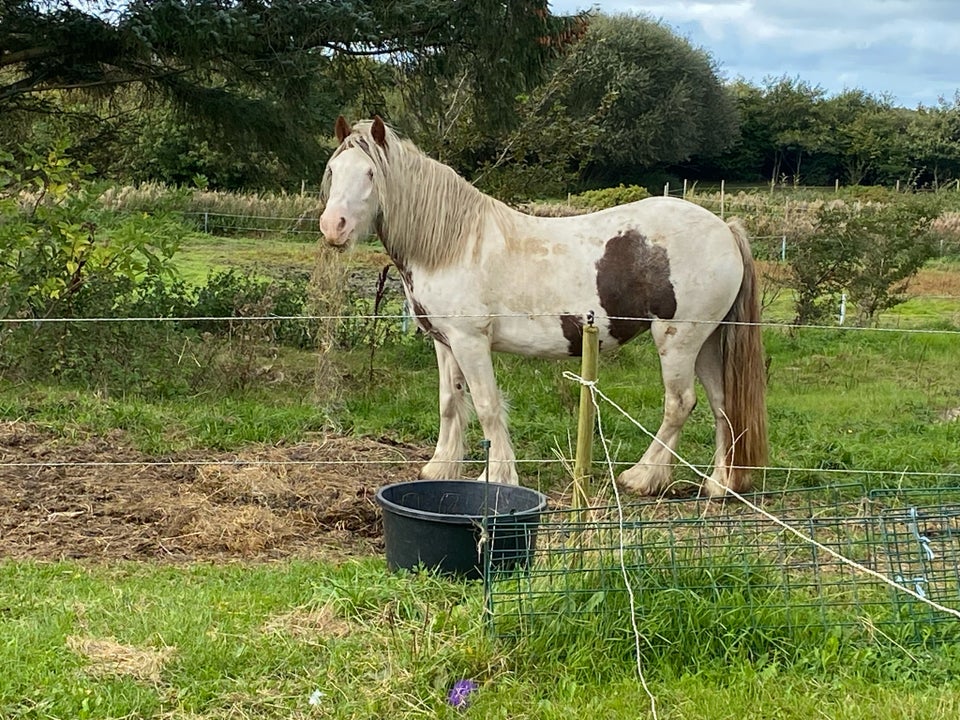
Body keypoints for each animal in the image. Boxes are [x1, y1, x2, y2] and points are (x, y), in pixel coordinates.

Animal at [318, 116, 768, 496]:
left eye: (371, 173)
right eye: (333, 171)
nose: (332, 227)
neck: (453, 245)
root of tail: (724, 228)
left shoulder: (470, 341)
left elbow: (486, 406)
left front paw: (497, 476)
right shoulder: (444, 343)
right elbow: (450, 402)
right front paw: (440, 468)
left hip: (677, 341)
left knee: (680, 404)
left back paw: (642, 477)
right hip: (706, 343)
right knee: (722, 405)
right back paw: (720, 484)